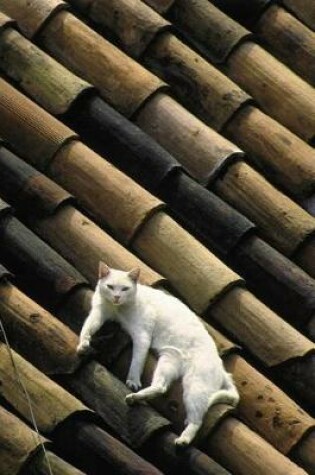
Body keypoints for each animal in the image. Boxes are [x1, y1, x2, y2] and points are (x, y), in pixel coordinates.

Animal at [78, 264, 241, 446]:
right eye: (110, 287)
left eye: (125, 288)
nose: (117, 296)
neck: (117, 309)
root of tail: (222, 369)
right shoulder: (98, 315)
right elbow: (86, 329)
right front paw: (82, 345)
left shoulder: (142, 336)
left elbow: (137, 362)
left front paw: (133, 380)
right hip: (168, 362)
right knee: (161, 387)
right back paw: (135, 398)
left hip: (194, 387)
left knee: (196, 420)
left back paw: (183, 439)